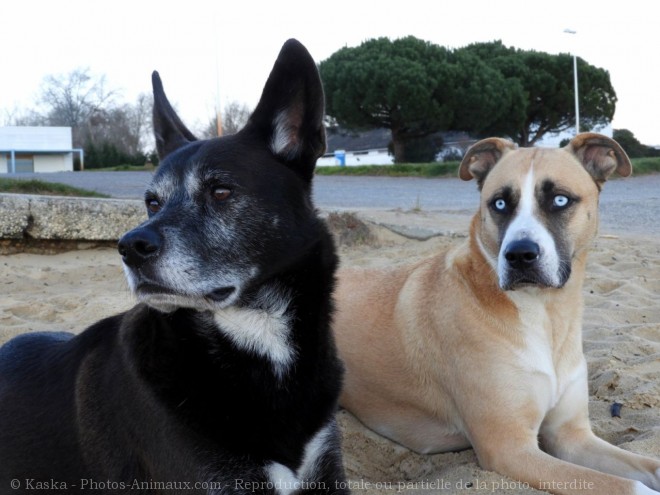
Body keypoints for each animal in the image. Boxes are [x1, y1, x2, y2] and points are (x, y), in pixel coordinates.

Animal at [336, 134, 660, 494]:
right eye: (500, 204)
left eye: (560, 200)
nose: (520, 255)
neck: (546, 315)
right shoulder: (510, 448)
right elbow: (630, 486)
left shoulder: (571, 436)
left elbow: (649, 466)